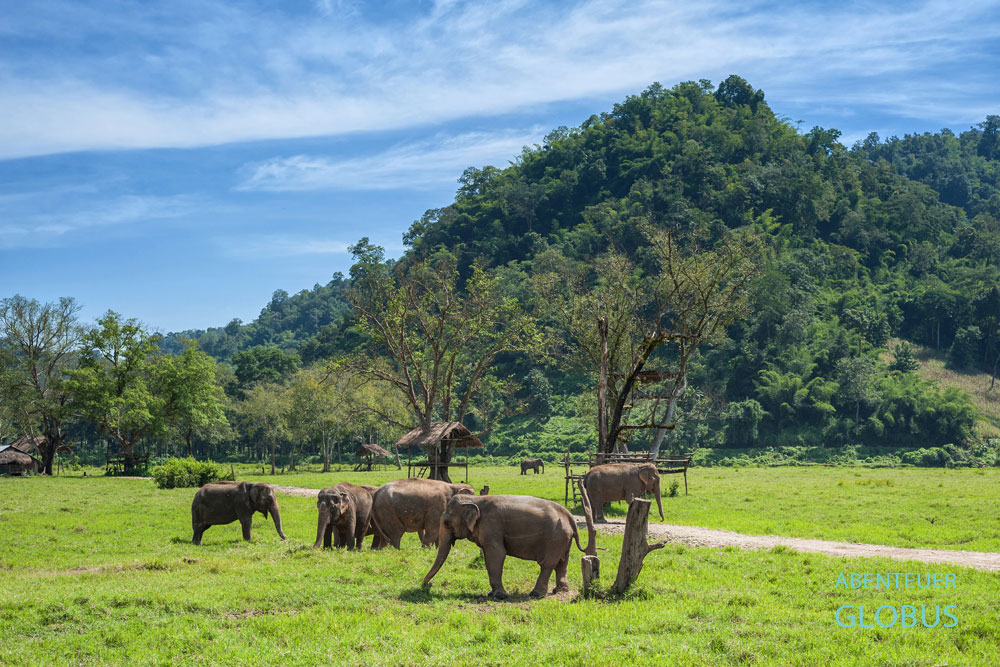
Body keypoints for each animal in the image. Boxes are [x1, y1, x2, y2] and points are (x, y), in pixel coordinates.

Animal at [423, 493, 596, 599]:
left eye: (447, 523)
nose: (427, 584)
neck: (475, 499)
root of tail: (569, 516)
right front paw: (491, 593)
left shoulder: (491, 525)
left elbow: (496, 554)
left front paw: (498, 596)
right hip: (564, 539)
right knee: (562, 562)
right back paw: (560, 591)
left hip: (556, 538)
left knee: (547, 564)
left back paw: (536, 594)